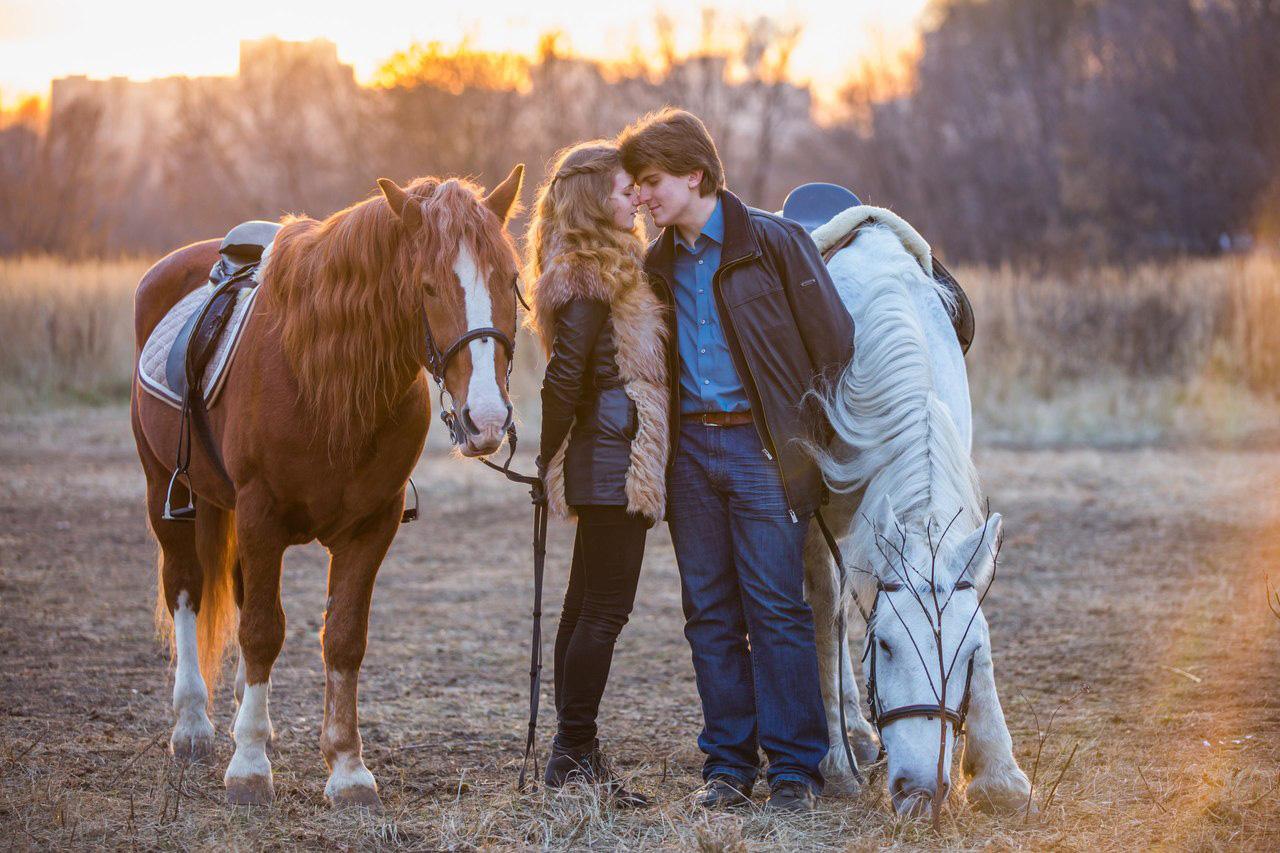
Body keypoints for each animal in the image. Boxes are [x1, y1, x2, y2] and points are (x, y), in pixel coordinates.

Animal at [129, 163, 524, 804]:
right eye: (427, 287)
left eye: (510, 280)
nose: (486, 419)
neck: (323, 381)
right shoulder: (261, 513)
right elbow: (263, 631)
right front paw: (248, 767)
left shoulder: (372, 525)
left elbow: (342, 638)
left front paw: (346, 767)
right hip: (166, 490)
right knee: (187, 588)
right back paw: (192, 725)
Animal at [803, 206, 1034, 809]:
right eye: (884, 645)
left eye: (970, 651)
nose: (921, 790)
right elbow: (826, 616)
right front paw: (835, 758)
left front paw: (1000, 772)